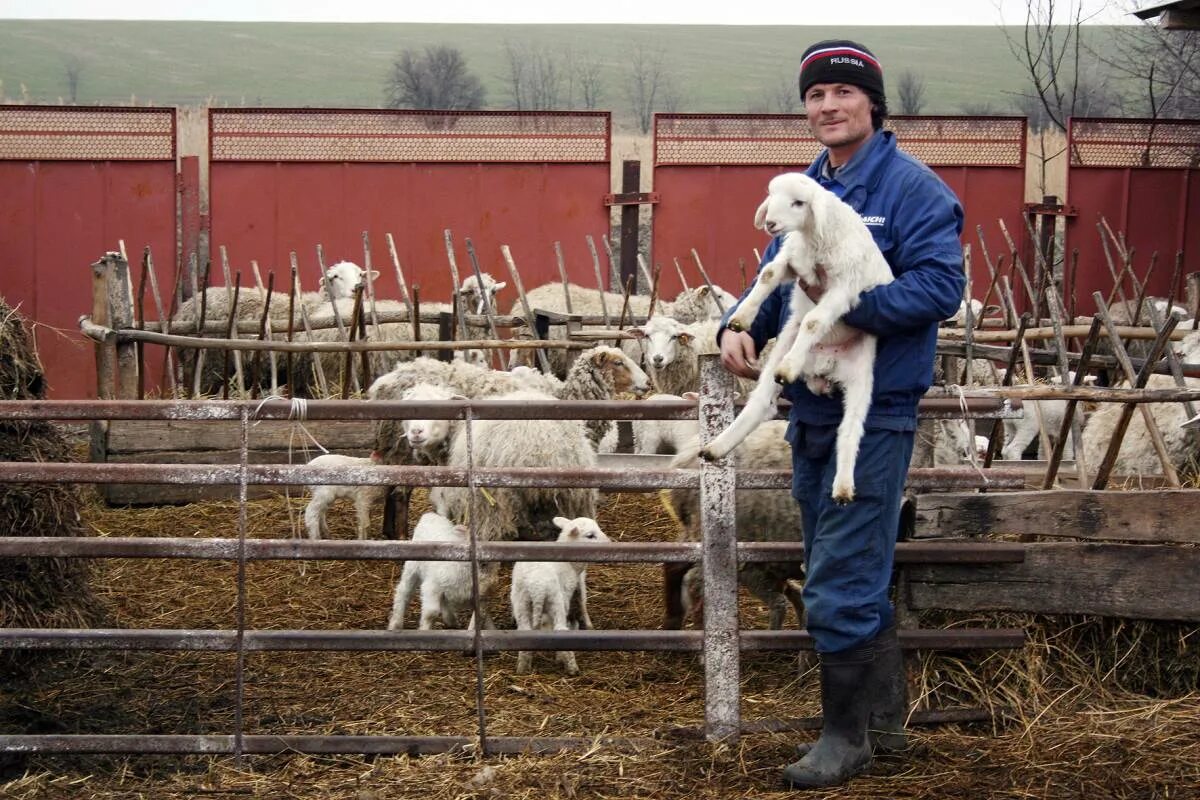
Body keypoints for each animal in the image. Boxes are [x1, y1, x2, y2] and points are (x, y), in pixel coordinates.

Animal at [511, 515, 614, 681]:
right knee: (560, 629)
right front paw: (560, 657)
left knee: (524, 631)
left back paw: (522, 670)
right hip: (555, 600)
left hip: (521, 603)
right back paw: (572, 669)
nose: (609, 543)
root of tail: (537, 586)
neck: (570, 563)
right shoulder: (566, 593)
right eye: (590, 535)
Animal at [700, 172, 892, 503]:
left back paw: (843, 485)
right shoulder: (791, 261)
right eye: (771, 195)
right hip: (779, 351)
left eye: (799, 203)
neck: (813, 239)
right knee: (761, 405)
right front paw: (741, 318)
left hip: (861, 376)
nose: (770, 224)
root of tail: (822, 369)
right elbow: (767, 275)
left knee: (849, 430)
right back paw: (717, 446)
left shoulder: (842, 287)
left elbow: (814, 321)